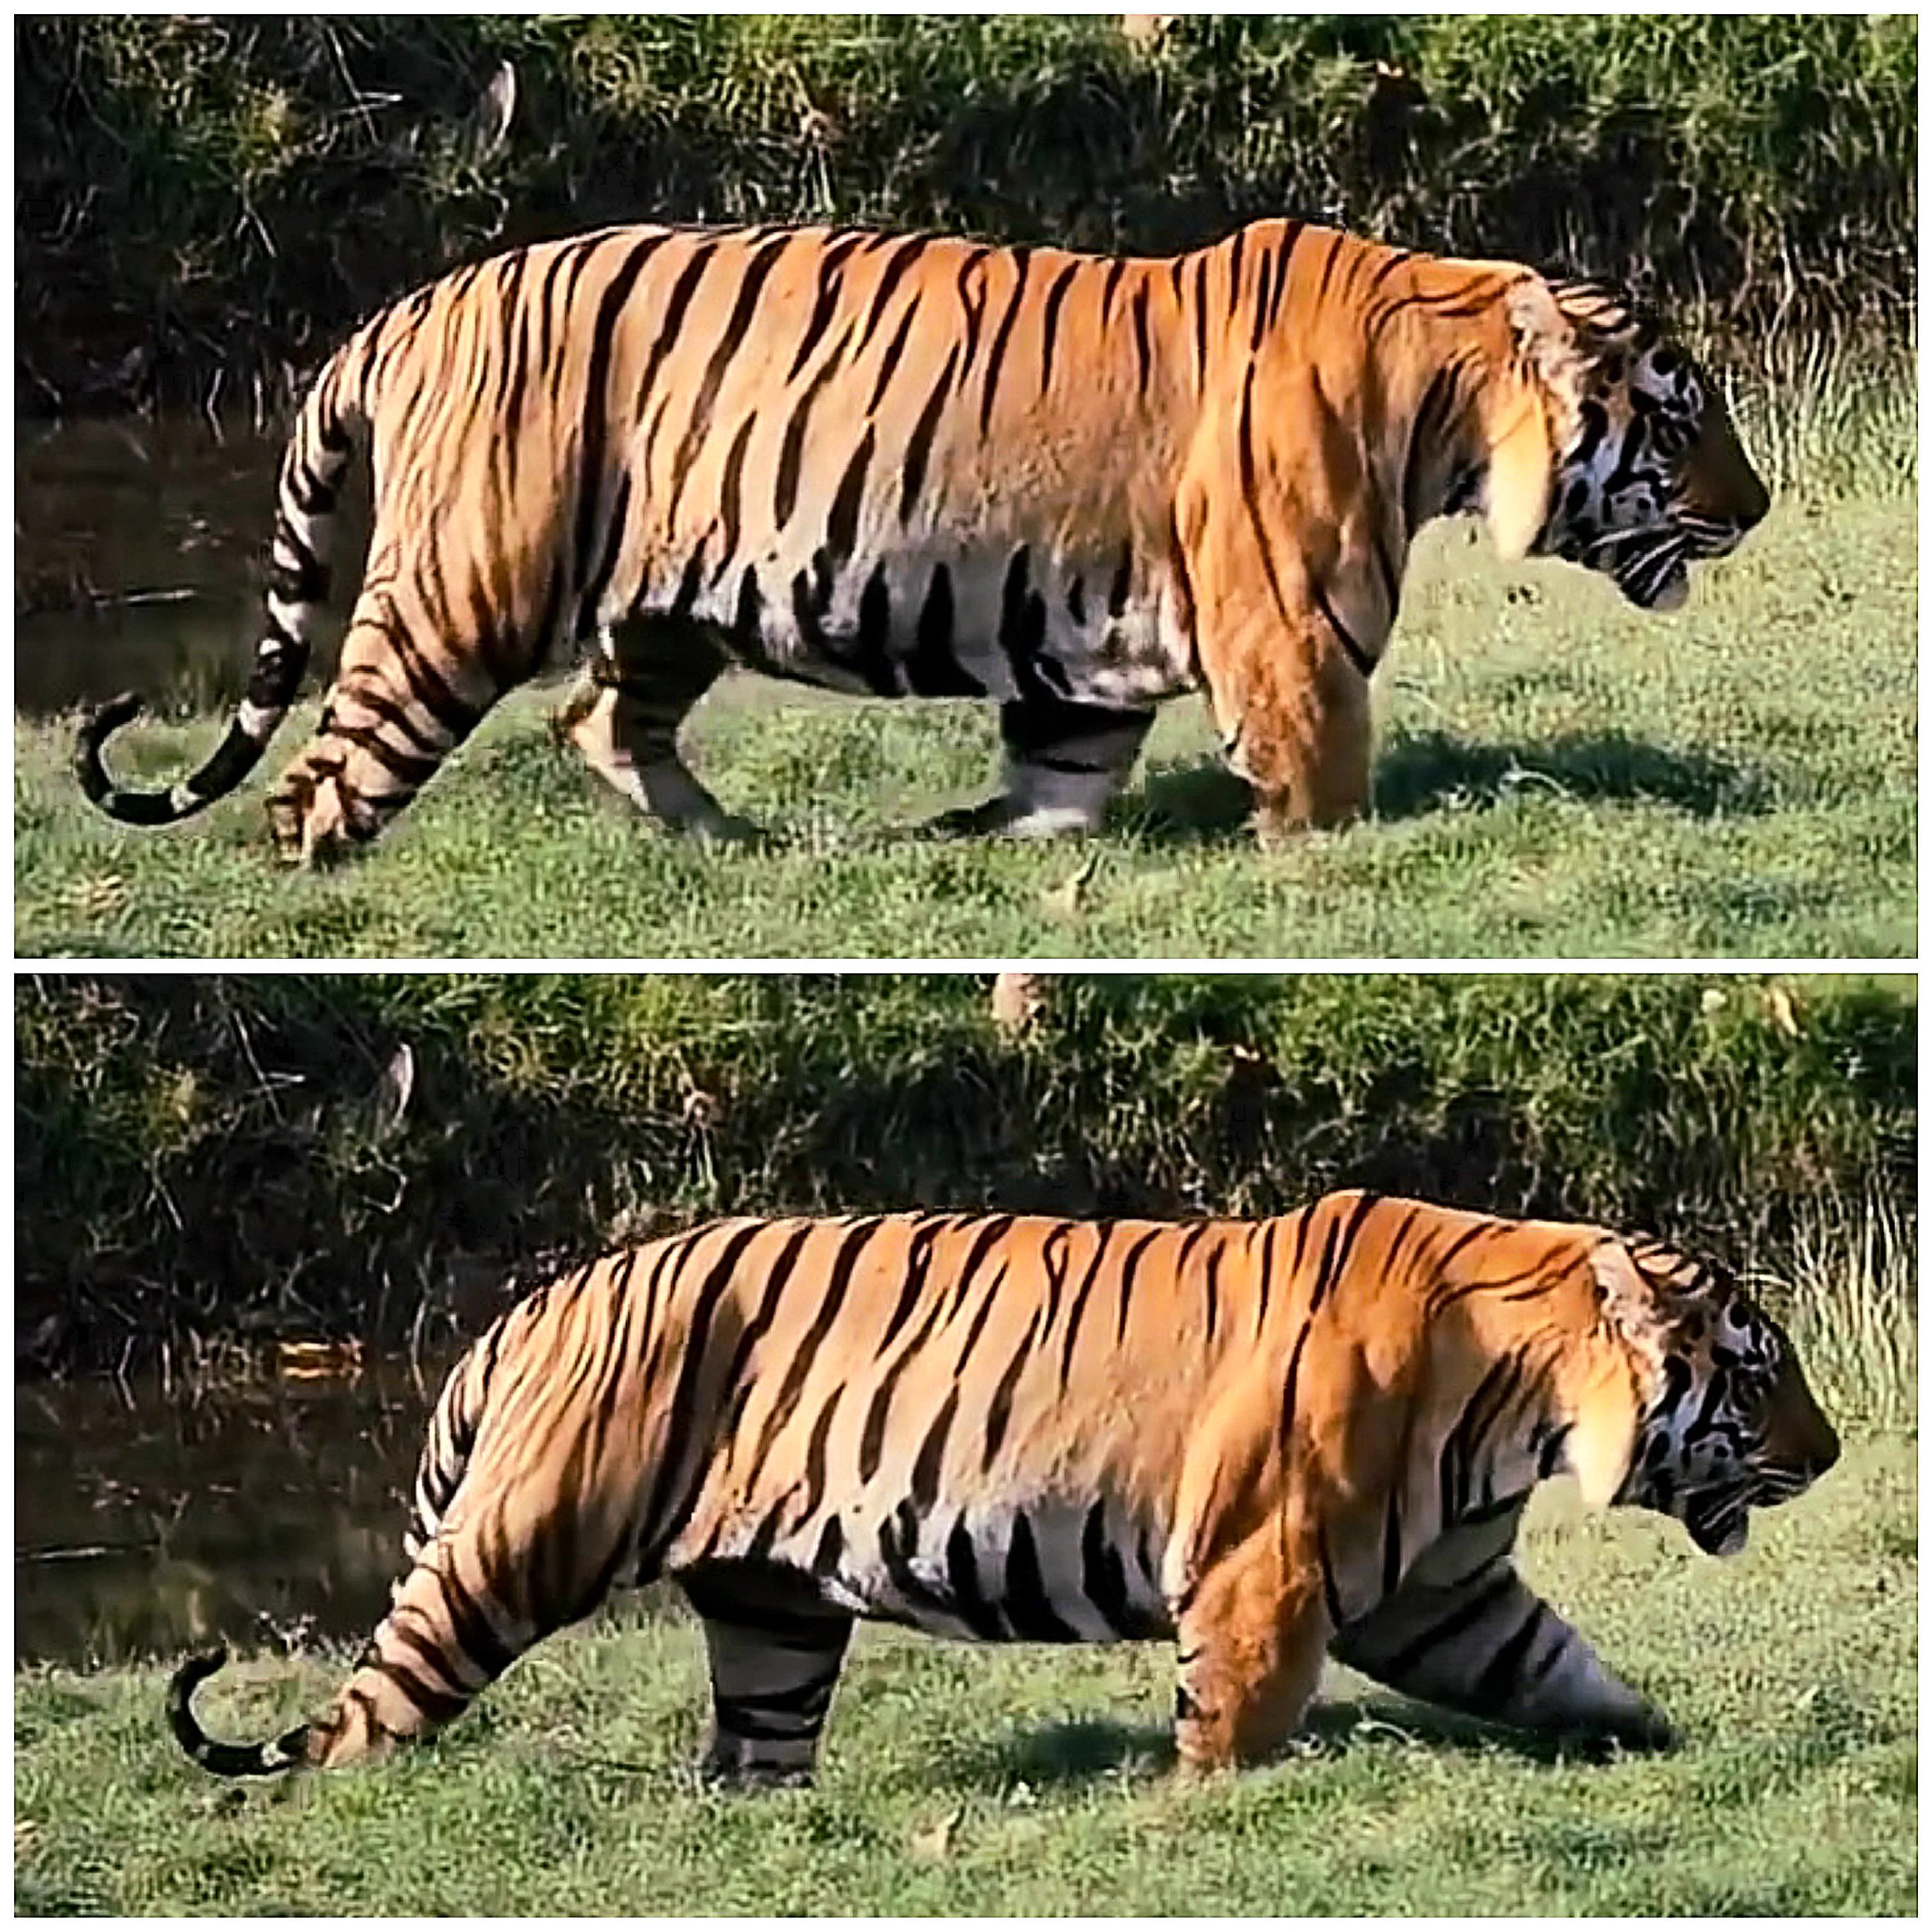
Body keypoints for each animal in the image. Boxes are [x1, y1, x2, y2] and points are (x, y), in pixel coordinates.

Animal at [76, 216, 1770, 865]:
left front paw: (993, 848)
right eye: (1679, 414)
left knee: (599, 722)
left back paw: (736, 842)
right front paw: (1318, 866)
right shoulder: (1292, 634)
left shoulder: (1091, 657)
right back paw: (322, 877)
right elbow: (1321, 782)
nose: (1755, 509)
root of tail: (410, 305)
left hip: (668, 606)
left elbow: (1059, 779)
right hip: (461, 590)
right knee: (324, 772)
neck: (1444, 405)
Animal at [168, 1190, 1836, 1785]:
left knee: (755, 1747)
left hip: (774, 1613)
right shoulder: (1269, 1566)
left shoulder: (1444, 1590)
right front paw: (1188, 1817)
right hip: (513, 1548)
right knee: (373, 1705)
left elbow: (1565, 1671)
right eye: (1757, 1374)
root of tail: (532, 1305)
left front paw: (1669, 1746)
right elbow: (1234, 1716)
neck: (1526, 1402)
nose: (1829, 1457)